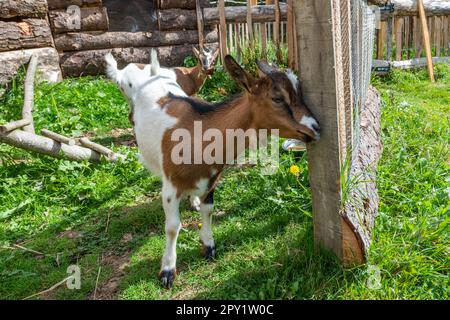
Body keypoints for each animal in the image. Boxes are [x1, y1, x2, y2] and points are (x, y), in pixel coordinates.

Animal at [104, 53, 320, 288]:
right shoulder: (171, 186)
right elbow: (172, 226)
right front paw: (167, 271)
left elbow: (208, 210)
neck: (197, 135)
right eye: (277, 99)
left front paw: (208, 246)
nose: (316, 128)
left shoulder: (212, 179)